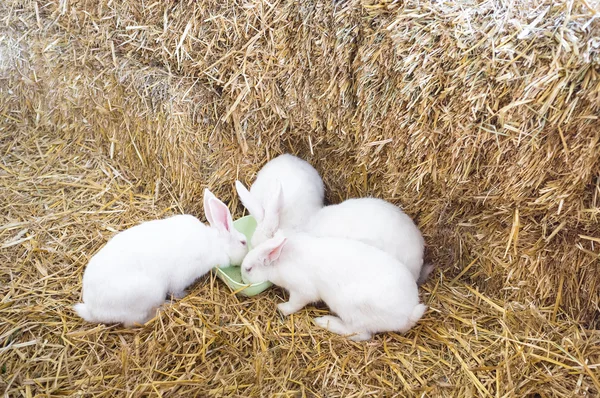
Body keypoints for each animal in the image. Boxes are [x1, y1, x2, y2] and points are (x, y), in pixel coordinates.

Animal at [74, 190, 248, 326]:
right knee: (135, 322)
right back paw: (164, 307)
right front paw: (183, 295)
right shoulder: (184, 275)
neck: (214, 243)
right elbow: (176, 289)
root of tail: (92, 309)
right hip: (149, 293)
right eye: (243, 242)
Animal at [239, 233, 426, 342]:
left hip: (349, 308)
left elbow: (294, 304)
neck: (281, 261)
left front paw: (281, 308)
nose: (242, 277)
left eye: (248, 269)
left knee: (359, 334)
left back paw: (324, 321)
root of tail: (407, 314)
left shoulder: (301, 291)